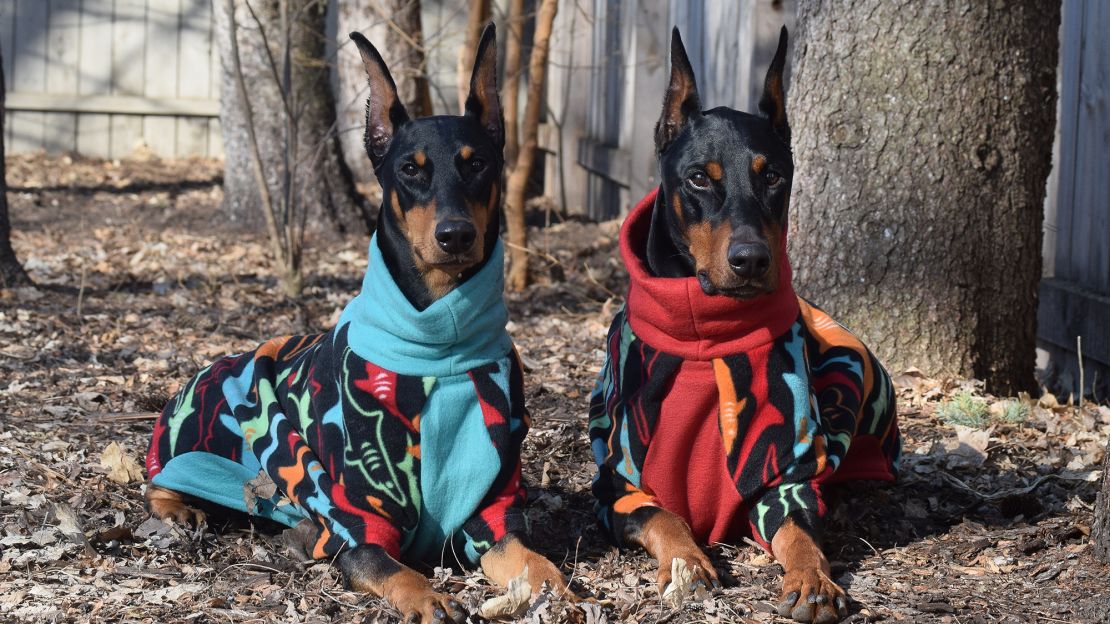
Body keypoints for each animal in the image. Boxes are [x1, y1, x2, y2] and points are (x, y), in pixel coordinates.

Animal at [145, 25, 563, 621]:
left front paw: (559, 589)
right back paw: (178, 508)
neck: (440, 343)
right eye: (410, 169)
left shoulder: (492, 503)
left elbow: (529, 559)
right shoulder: (355, 516)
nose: (455, 235)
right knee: (157, 479)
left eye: (477, 163)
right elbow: (393, 568)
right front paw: (428, 597)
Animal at [590, 26, 901, 617]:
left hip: (851, 366)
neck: (706, 337)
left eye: (773, 175)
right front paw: (688, 562)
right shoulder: (618, 484)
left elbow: (799, 532)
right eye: (698, 179)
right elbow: (665, 515)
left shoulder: (786, 474)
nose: (753, 260)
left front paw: (812, 579)